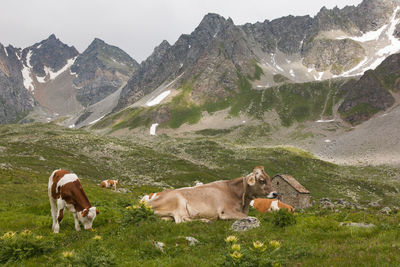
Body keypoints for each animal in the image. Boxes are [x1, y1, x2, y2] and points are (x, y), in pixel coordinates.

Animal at [148, 166, 278, 223]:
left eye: (269, 179)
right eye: (262, 180)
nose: (275, 193)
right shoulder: (226, 211)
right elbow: (252, 217)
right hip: (179, 203)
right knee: (181, 219)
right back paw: (205, 220)